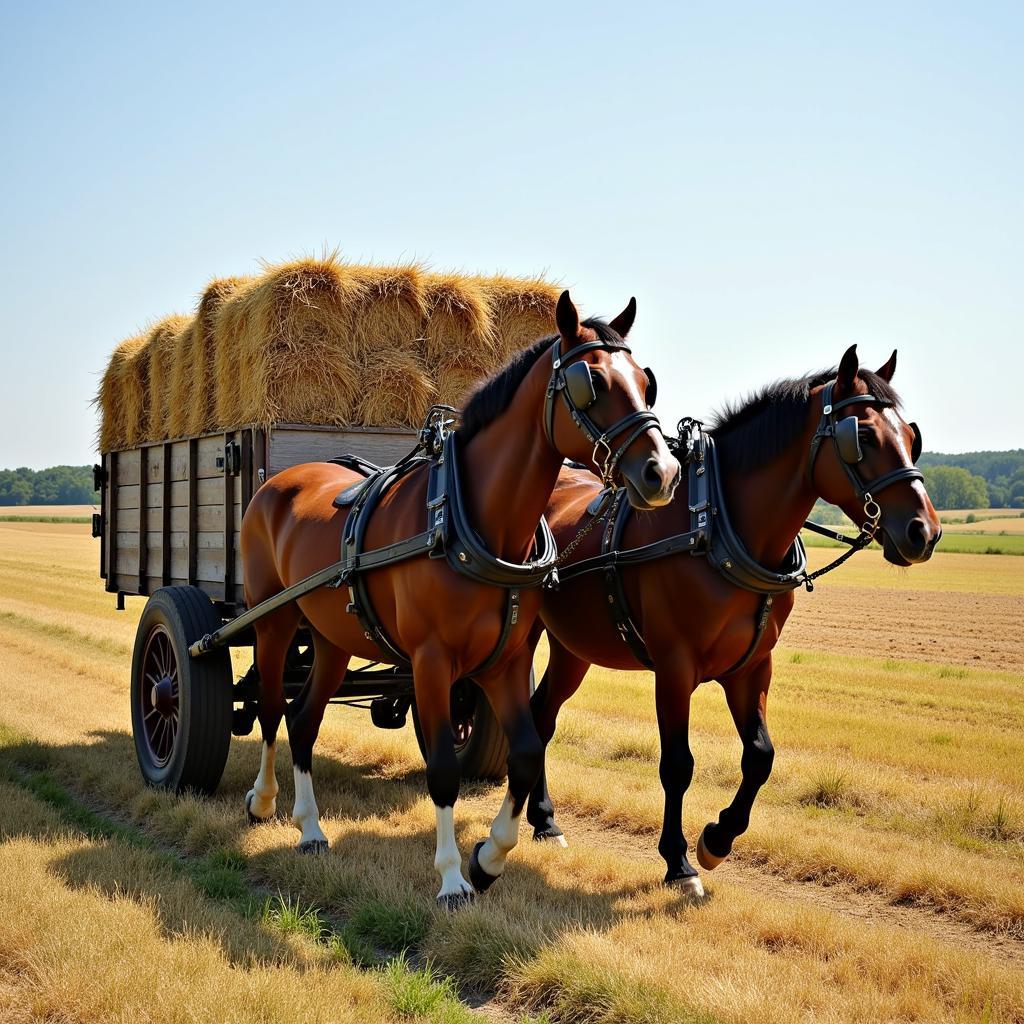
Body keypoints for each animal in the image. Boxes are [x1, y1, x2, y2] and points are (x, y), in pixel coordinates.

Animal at [239, 290, 684, 905]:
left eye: (646, 381)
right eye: (590, 382)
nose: (662, 472)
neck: (471, 525)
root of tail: (276, 483)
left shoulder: (506, 661)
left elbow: (526, 753)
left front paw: (490, 858)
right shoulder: (430, 661)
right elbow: (445, 769)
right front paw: (452, 877)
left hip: (332, 637)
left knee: (304, 719)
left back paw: (310, 829)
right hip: (275, 623)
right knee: (269, 707)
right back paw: (262, 800)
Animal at [524, 346, 937, 897]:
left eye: (912, 435)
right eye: (863, 437)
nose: (924, 532)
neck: (717, 528)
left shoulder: (752, 668)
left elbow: (760, 755)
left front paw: (717, 840)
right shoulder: (674, 668)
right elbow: (678, 765)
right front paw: (679, 862)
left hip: (574, 648)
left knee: (542, 715)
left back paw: (545, 820)